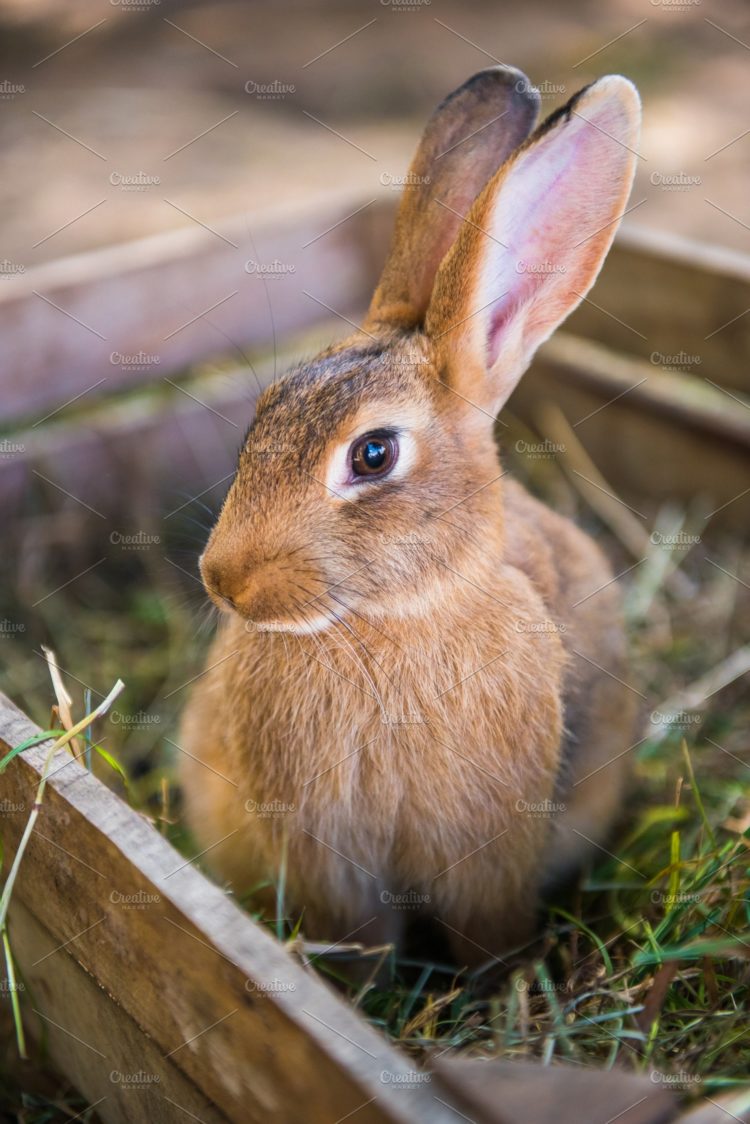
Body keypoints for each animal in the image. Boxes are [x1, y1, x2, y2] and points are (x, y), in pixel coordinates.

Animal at [178, 63, 643, 966]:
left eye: (372, 456)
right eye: (261, 415)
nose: (226, 583)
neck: (392, 619)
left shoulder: (488, 855)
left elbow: (489, 932)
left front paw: (503, 985)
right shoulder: (326, 861)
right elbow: (356, 939)